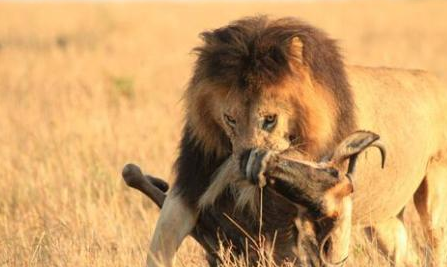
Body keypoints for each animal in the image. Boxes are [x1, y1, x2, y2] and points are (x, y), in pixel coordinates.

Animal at [141, 16, 447, 267]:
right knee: (407, 256)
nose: (245, 164)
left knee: (435, 242)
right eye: (230, 119)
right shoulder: (192, 178)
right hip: (383, 220)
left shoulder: (331, 202)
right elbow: (162, 242)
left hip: (434, 198)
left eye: (270, 119)